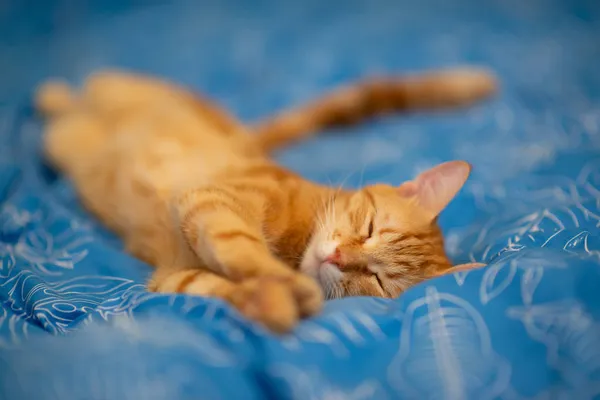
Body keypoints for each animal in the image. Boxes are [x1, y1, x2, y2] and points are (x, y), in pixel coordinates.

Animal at [37, 67, 494, 332]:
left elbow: (222, 289)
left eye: (377, 280)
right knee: (80, 93)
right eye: (368, 230)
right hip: (105, 96)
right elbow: (243, 248)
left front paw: (270, 301)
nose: (338, 258)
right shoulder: (216, 201)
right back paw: (53, 93)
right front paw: (285, 284)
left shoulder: (173, 276)